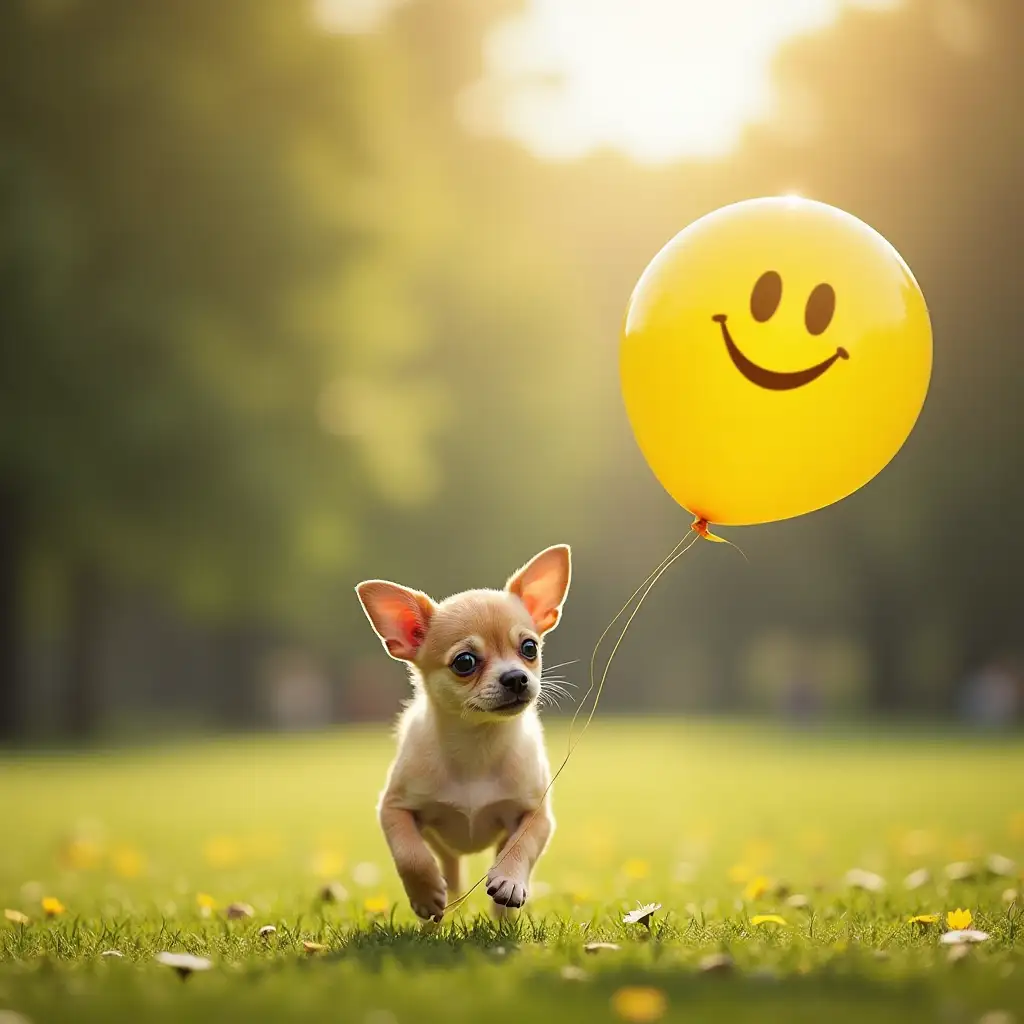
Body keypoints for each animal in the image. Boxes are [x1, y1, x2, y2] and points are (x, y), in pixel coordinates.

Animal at [356, 544, 573, 921]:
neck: (477, 746)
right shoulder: (393, 808)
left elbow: (522, 844)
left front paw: (509, 880)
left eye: (529, 648)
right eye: (465, 662)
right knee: (449, 867)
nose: (516, 677)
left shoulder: (536, 814)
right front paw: (426, 894)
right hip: (442, 845)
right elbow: (409, 854)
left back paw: (503, 917)